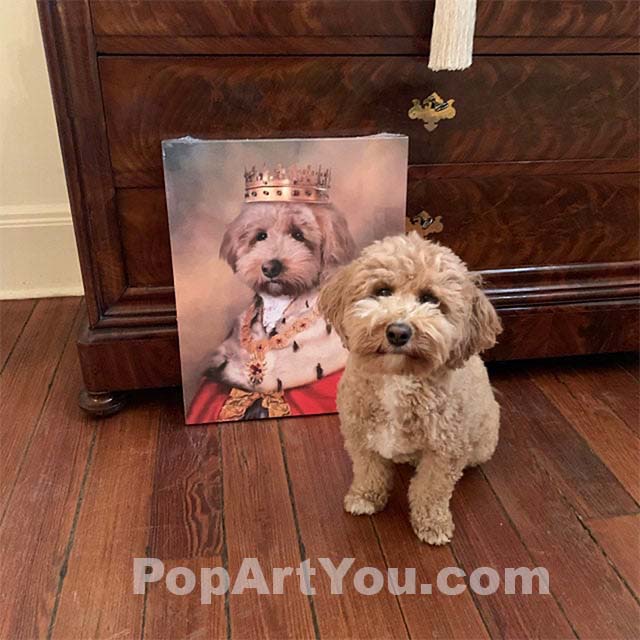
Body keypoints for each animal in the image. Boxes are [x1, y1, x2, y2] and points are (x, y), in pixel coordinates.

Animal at [318, 232, 502, 544]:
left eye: (430, 299)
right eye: (382, 291)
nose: (398, 331)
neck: (398, 376)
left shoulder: (446, 451)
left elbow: (431, 490)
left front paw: (432, 524)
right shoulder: (360, 436)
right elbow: (369, 470)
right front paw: (365, 497)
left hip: (481, 444)